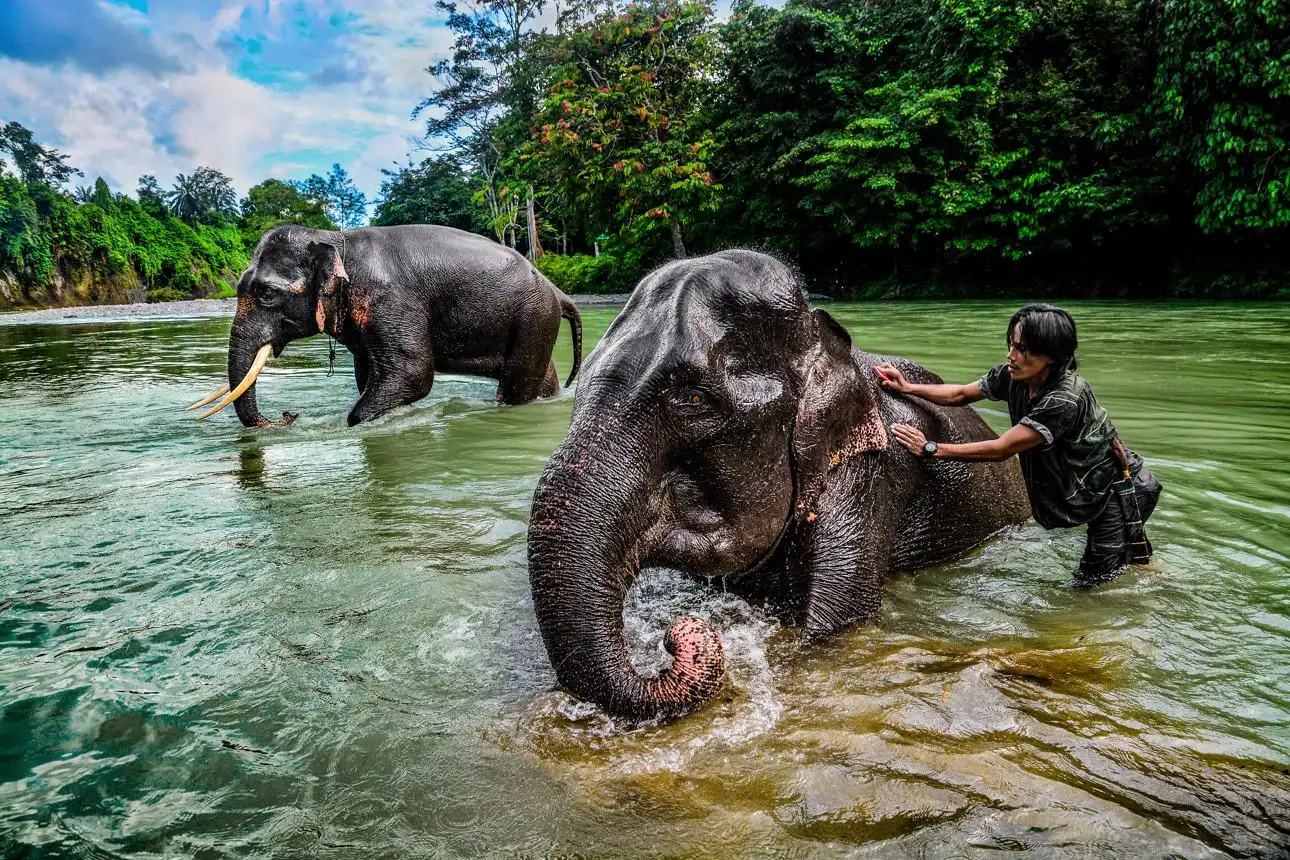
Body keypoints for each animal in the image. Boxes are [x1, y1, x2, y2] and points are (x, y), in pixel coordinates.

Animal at [188, 224, 582, 427]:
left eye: (268, 293)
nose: (288, 416)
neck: (336, 239)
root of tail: (557, 291)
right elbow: (368, 375)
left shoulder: (391, 302)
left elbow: (412, 373)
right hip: (536, 323)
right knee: (541, 379)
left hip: (533, 319)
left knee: (518, 385)